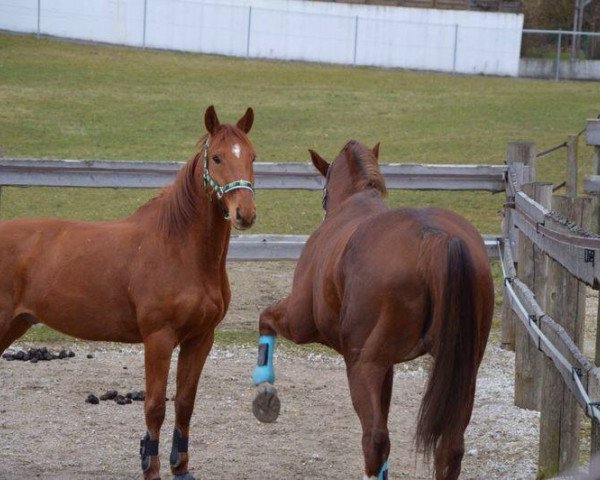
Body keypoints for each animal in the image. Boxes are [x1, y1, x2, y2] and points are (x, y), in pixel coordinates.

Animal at [0, 106, 255, 480]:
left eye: (252, 156)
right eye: (218, 157)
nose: (245, 214)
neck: (178, 247)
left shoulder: (200, 338)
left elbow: (184, 403)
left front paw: (181, 468)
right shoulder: (159, 338)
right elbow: (155, 406)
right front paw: (150, 468)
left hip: (15, 323)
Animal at [252, 140, 492, 480]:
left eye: (324, 195)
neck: (355, 200)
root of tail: (434, 237)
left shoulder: (300, 321)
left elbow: (266, 318)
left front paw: (264, 387)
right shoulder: (388, 367)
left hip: (362, 366)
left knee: (375, 439)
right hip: (464, 370)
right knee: (450, 445)